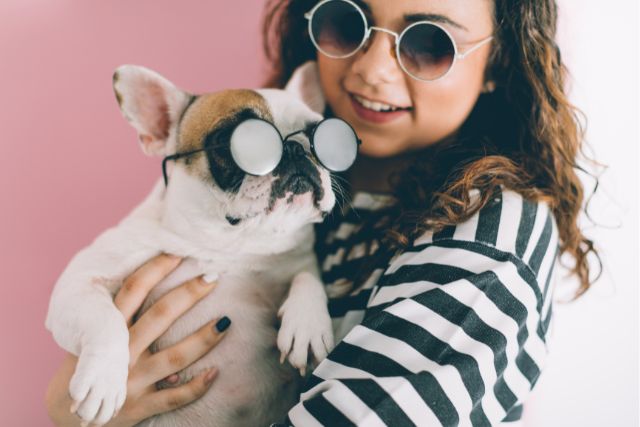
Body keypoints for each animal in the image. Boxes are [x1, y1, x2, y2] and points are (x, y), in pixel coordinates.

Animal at [44, 61, 340, 426]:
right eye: (235, 142)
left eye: (318, 134)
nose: (298, 147)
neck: (228, 245)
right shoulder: (81, 281)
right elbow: (105, 320)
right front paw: (103, 381)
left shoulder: (297, 260)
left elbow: (308, 276)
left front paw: (308, 326)